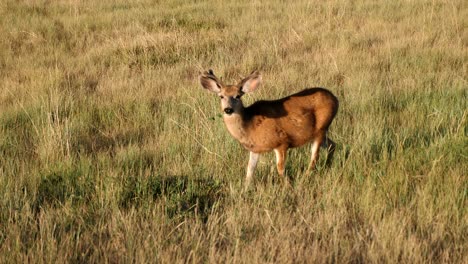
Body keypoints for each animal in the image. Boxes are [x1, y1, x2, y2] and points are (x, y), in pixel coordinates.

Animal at [199, 69, 338, 189]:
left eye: (238, 96)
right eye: (221, 96)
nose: (228, 109)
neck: (249, 124)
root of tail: (336, 99)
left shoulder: (282, 142)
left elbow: (280, 169)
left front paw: (289, 187)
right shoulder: (255, 149)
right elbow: (250, 170)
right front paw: (245, 189)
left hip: (320, 129)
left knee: (314, 157)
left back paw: (305, 179)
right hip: (318, 133)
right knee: (332, 144)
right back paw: (327, 166)